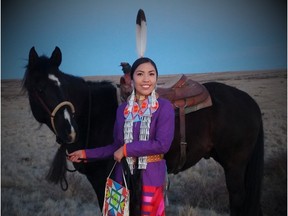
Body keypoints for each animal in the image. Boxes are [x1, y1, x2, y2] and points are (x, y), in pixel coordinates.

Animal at [22, 46, 264, 215]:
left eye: (62, 87)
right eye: (39, 88)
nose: (69, 130)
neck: (94, 114)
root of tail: (249, 100)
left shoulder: (107, 178)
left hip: (234, 165)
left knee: (238, 201)